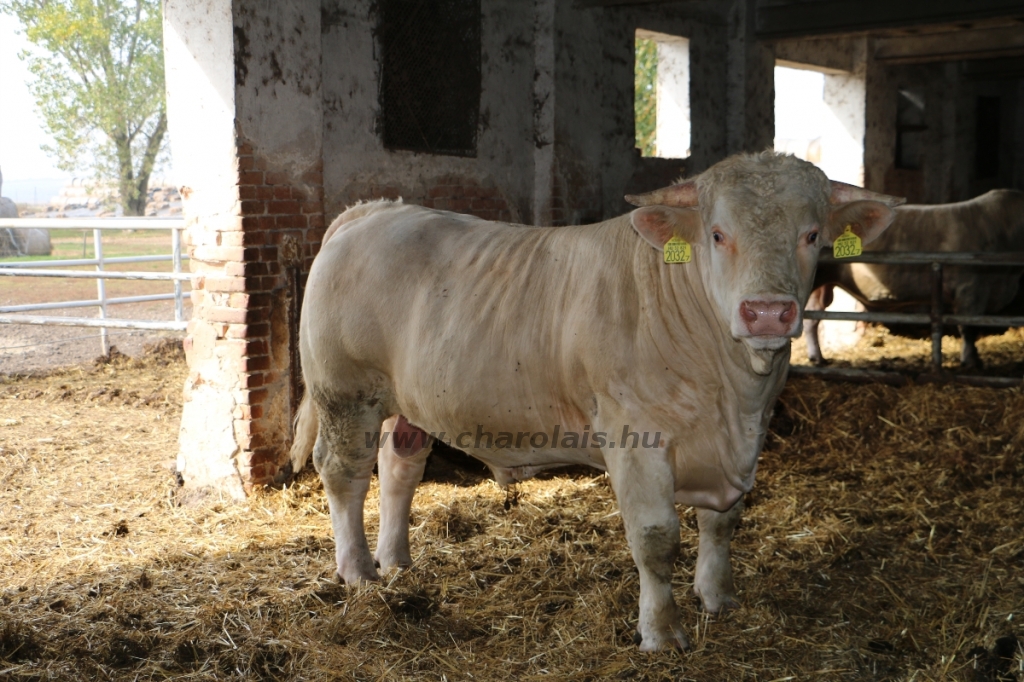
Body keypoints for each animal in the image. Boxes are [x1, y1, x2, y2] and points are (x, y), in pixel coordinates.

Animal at [288, 152, 897, 647]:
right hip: (345, 391)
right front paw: (661, 632)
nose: (767, 312)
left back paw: (397, 562)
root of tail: (374, 210)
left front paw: (717, 598)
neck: (735, 398)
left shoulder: (748, 440)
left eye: (812, 235)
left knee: (400, 466)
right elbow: (656, 538)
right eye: (719, 235)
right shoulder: (637, 437)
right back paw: (360, 573)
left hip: (406, 400)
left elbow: (722, 523)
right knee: (343, 473)